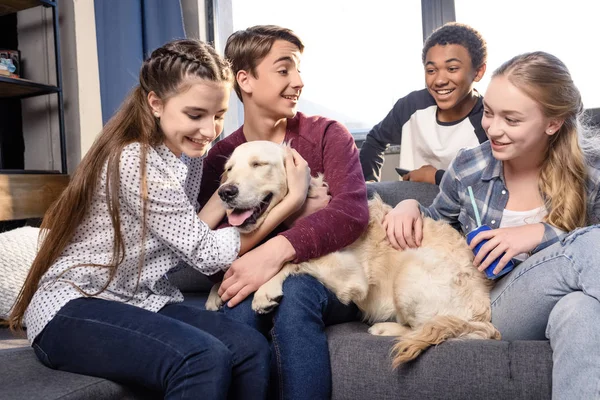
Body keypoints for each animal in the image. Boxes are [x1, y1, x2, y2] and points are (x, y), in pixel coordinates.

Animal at [209, 142, 500, 368]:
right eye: (229, 169)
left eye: (258, 164)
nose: (225, 192)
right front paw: (216, 292)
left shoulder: (350, 275)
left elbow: (292, 257)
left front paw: (264, 290)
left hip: (410, 274)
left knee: (434, 327)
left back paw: (385, 328)